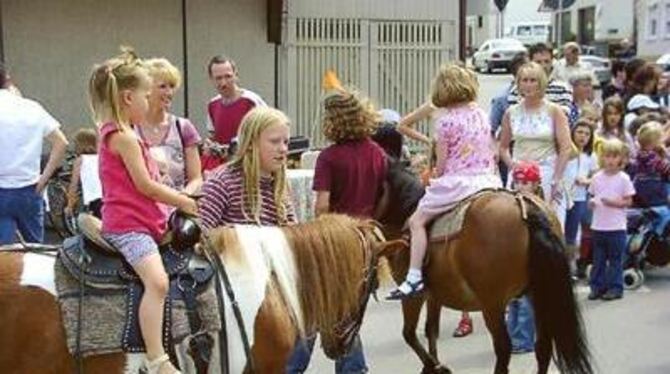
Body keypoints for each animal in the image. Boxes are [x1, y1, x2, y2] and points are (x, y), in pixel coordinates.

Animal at [378, 162, 592, 374]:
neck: (406, 214)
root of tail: (524, 207)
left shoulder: (413, 297)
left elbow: (409, 334)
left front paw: (434, 366)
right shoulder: (434, 296)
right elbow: (431, 329)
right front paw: (435, 365)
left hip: (492, 304)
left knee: (503, 348)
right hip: (538, 293)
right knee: (543, 346)